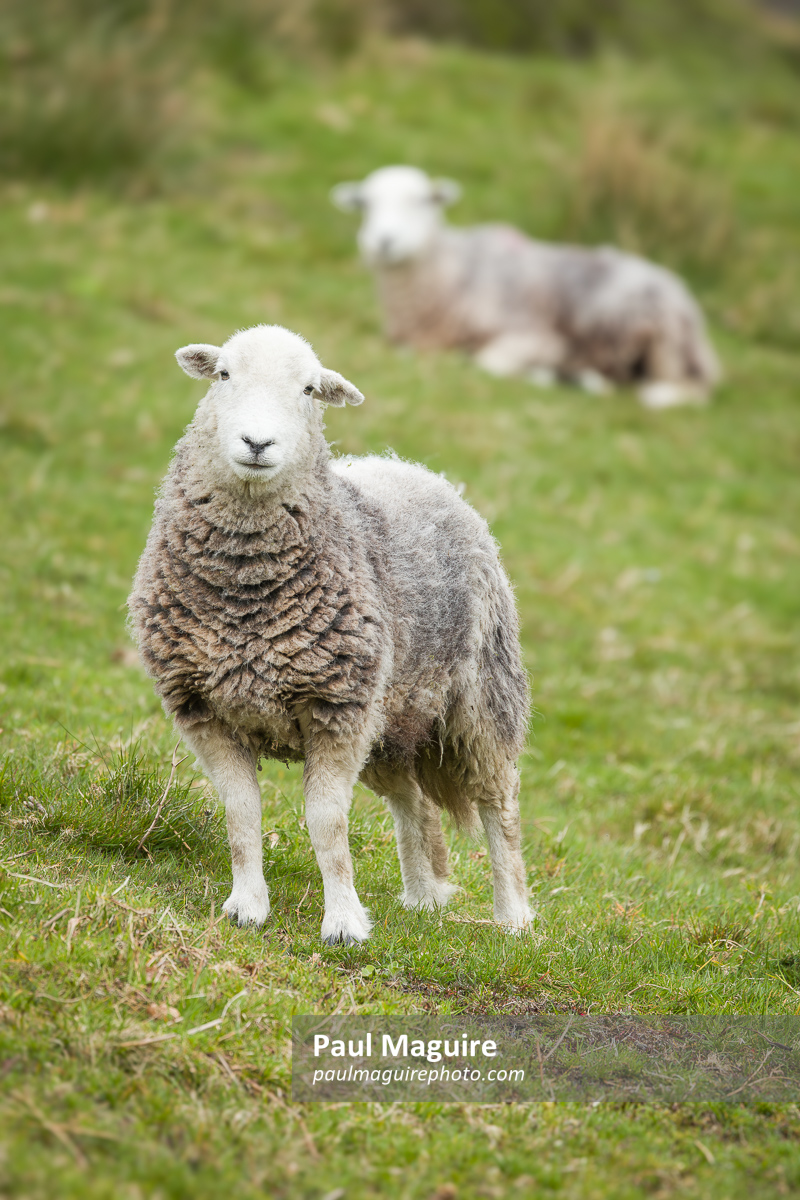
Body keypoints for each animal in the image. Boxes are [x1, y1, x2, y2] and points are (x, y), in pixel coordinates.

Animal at [128, 324, 532, 943]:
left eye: (310, 390)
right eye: (223, 374)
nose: (257, 442)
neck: (245, 593)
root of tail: (417, 470)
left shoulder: (337, 708)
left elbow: (326, 823)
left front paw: (343, 922)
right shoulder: (203, 708)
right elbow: (241, 813)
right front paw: (247, 906)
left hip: (479, 697)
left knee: (498, 803)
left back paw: (513, 918)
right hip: (390, 720)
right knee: (413, 802)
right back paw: (423, 897)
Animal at [332, 165, 721, 409]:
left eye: (425, 201)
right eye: (364, 204)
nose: (384, 241)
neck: (453, 269)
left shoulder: (538, 337)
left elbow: (488, 362)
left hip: (666, 341)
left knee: (693, 387)